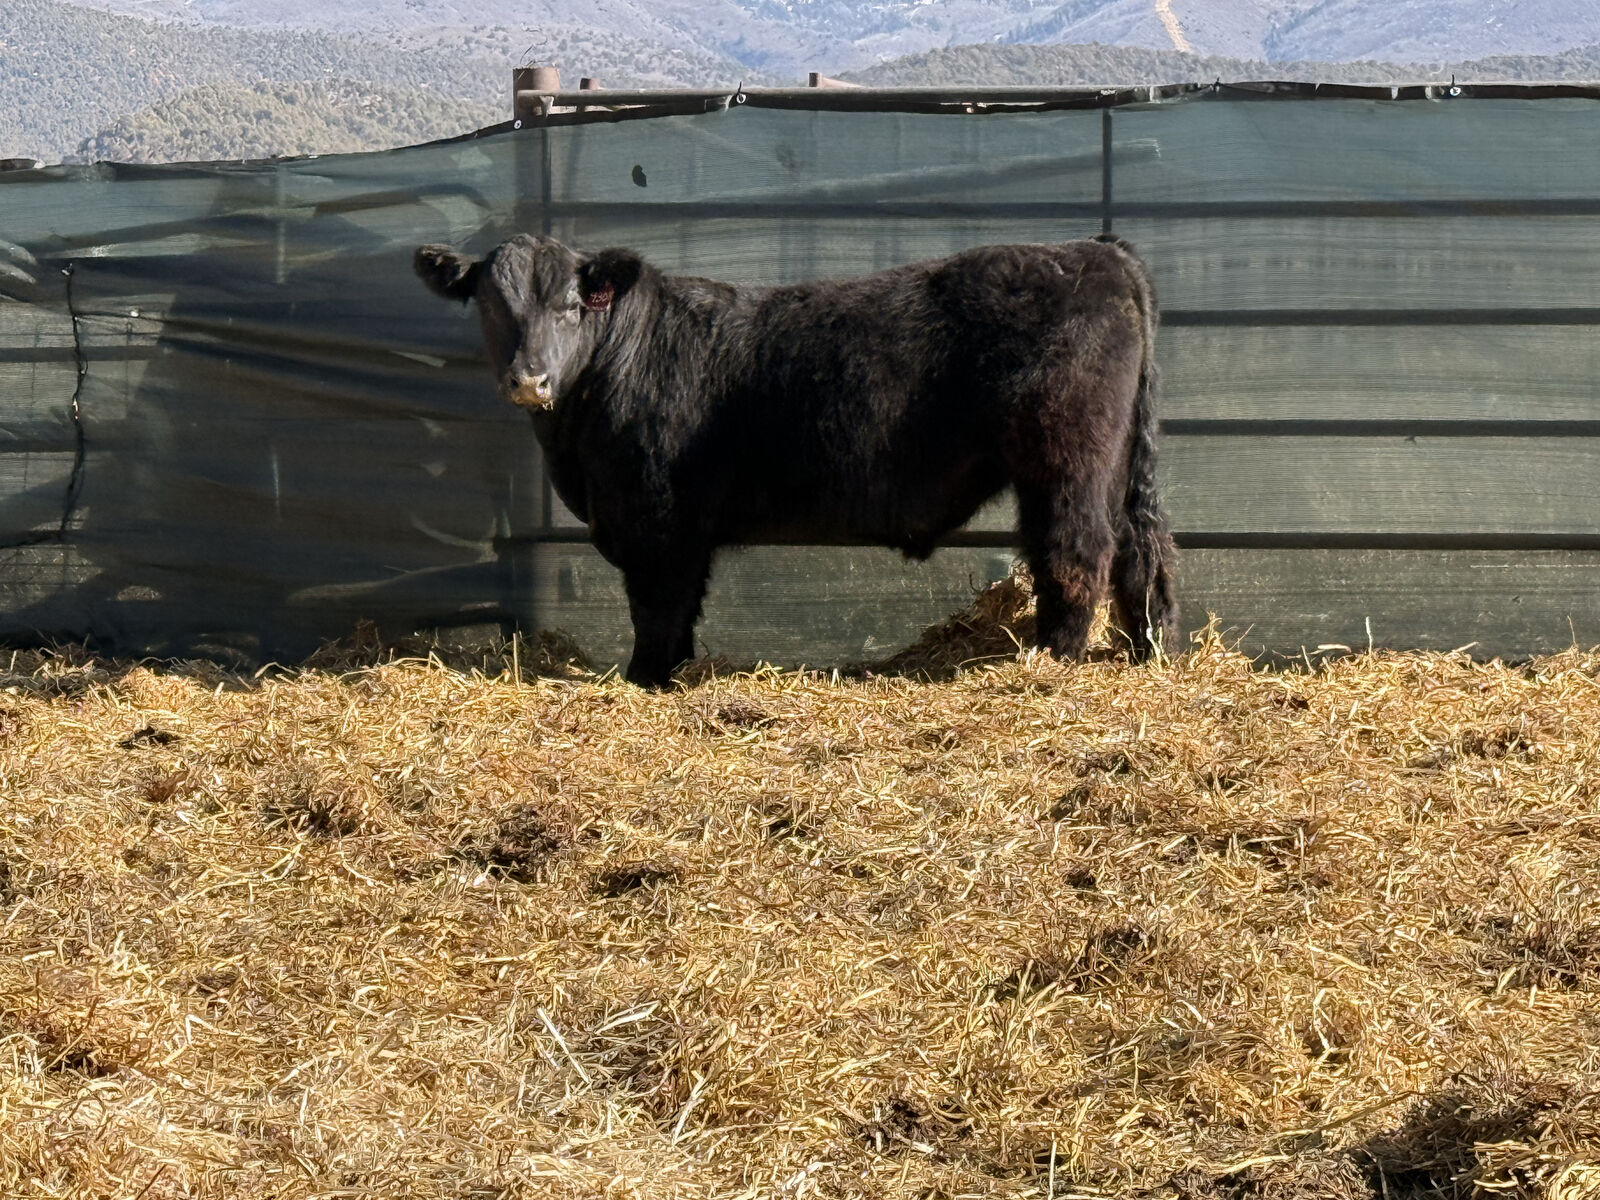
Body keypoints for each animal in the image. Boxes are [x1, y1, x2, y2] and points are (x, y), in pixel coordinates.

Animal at [415, 234, 1179, 688]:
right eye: (490, 304)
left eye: (572, 306)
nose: (529, 378)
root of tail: (1097, 253)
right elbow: (678, 614)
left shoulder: (660, 524)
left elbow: (658, 611)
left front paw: (646, 678)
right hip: (1118, 465)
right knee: (1142, 550)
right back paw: (1146, 649)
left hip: (1066, 461)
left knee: (1077, 553)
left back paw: (1056, 659)